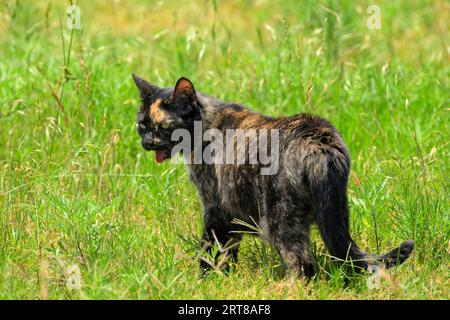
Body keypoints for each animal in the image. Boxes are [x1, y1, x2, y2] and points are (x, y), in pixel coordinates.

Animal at [132, 74, 414, 278]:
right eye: (142, 126)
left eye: (164, 127)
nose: (146, 143)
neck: (208, 125)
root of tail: (317, 143)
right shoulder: (232, 214)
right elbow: (228, 252)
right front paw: (226, 278)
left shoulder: (215, 208)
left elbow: (209, 250)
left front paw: (204, 281)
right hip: (336, 213)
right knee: (340, 255)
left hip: (279, 220)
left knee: (302, 264)